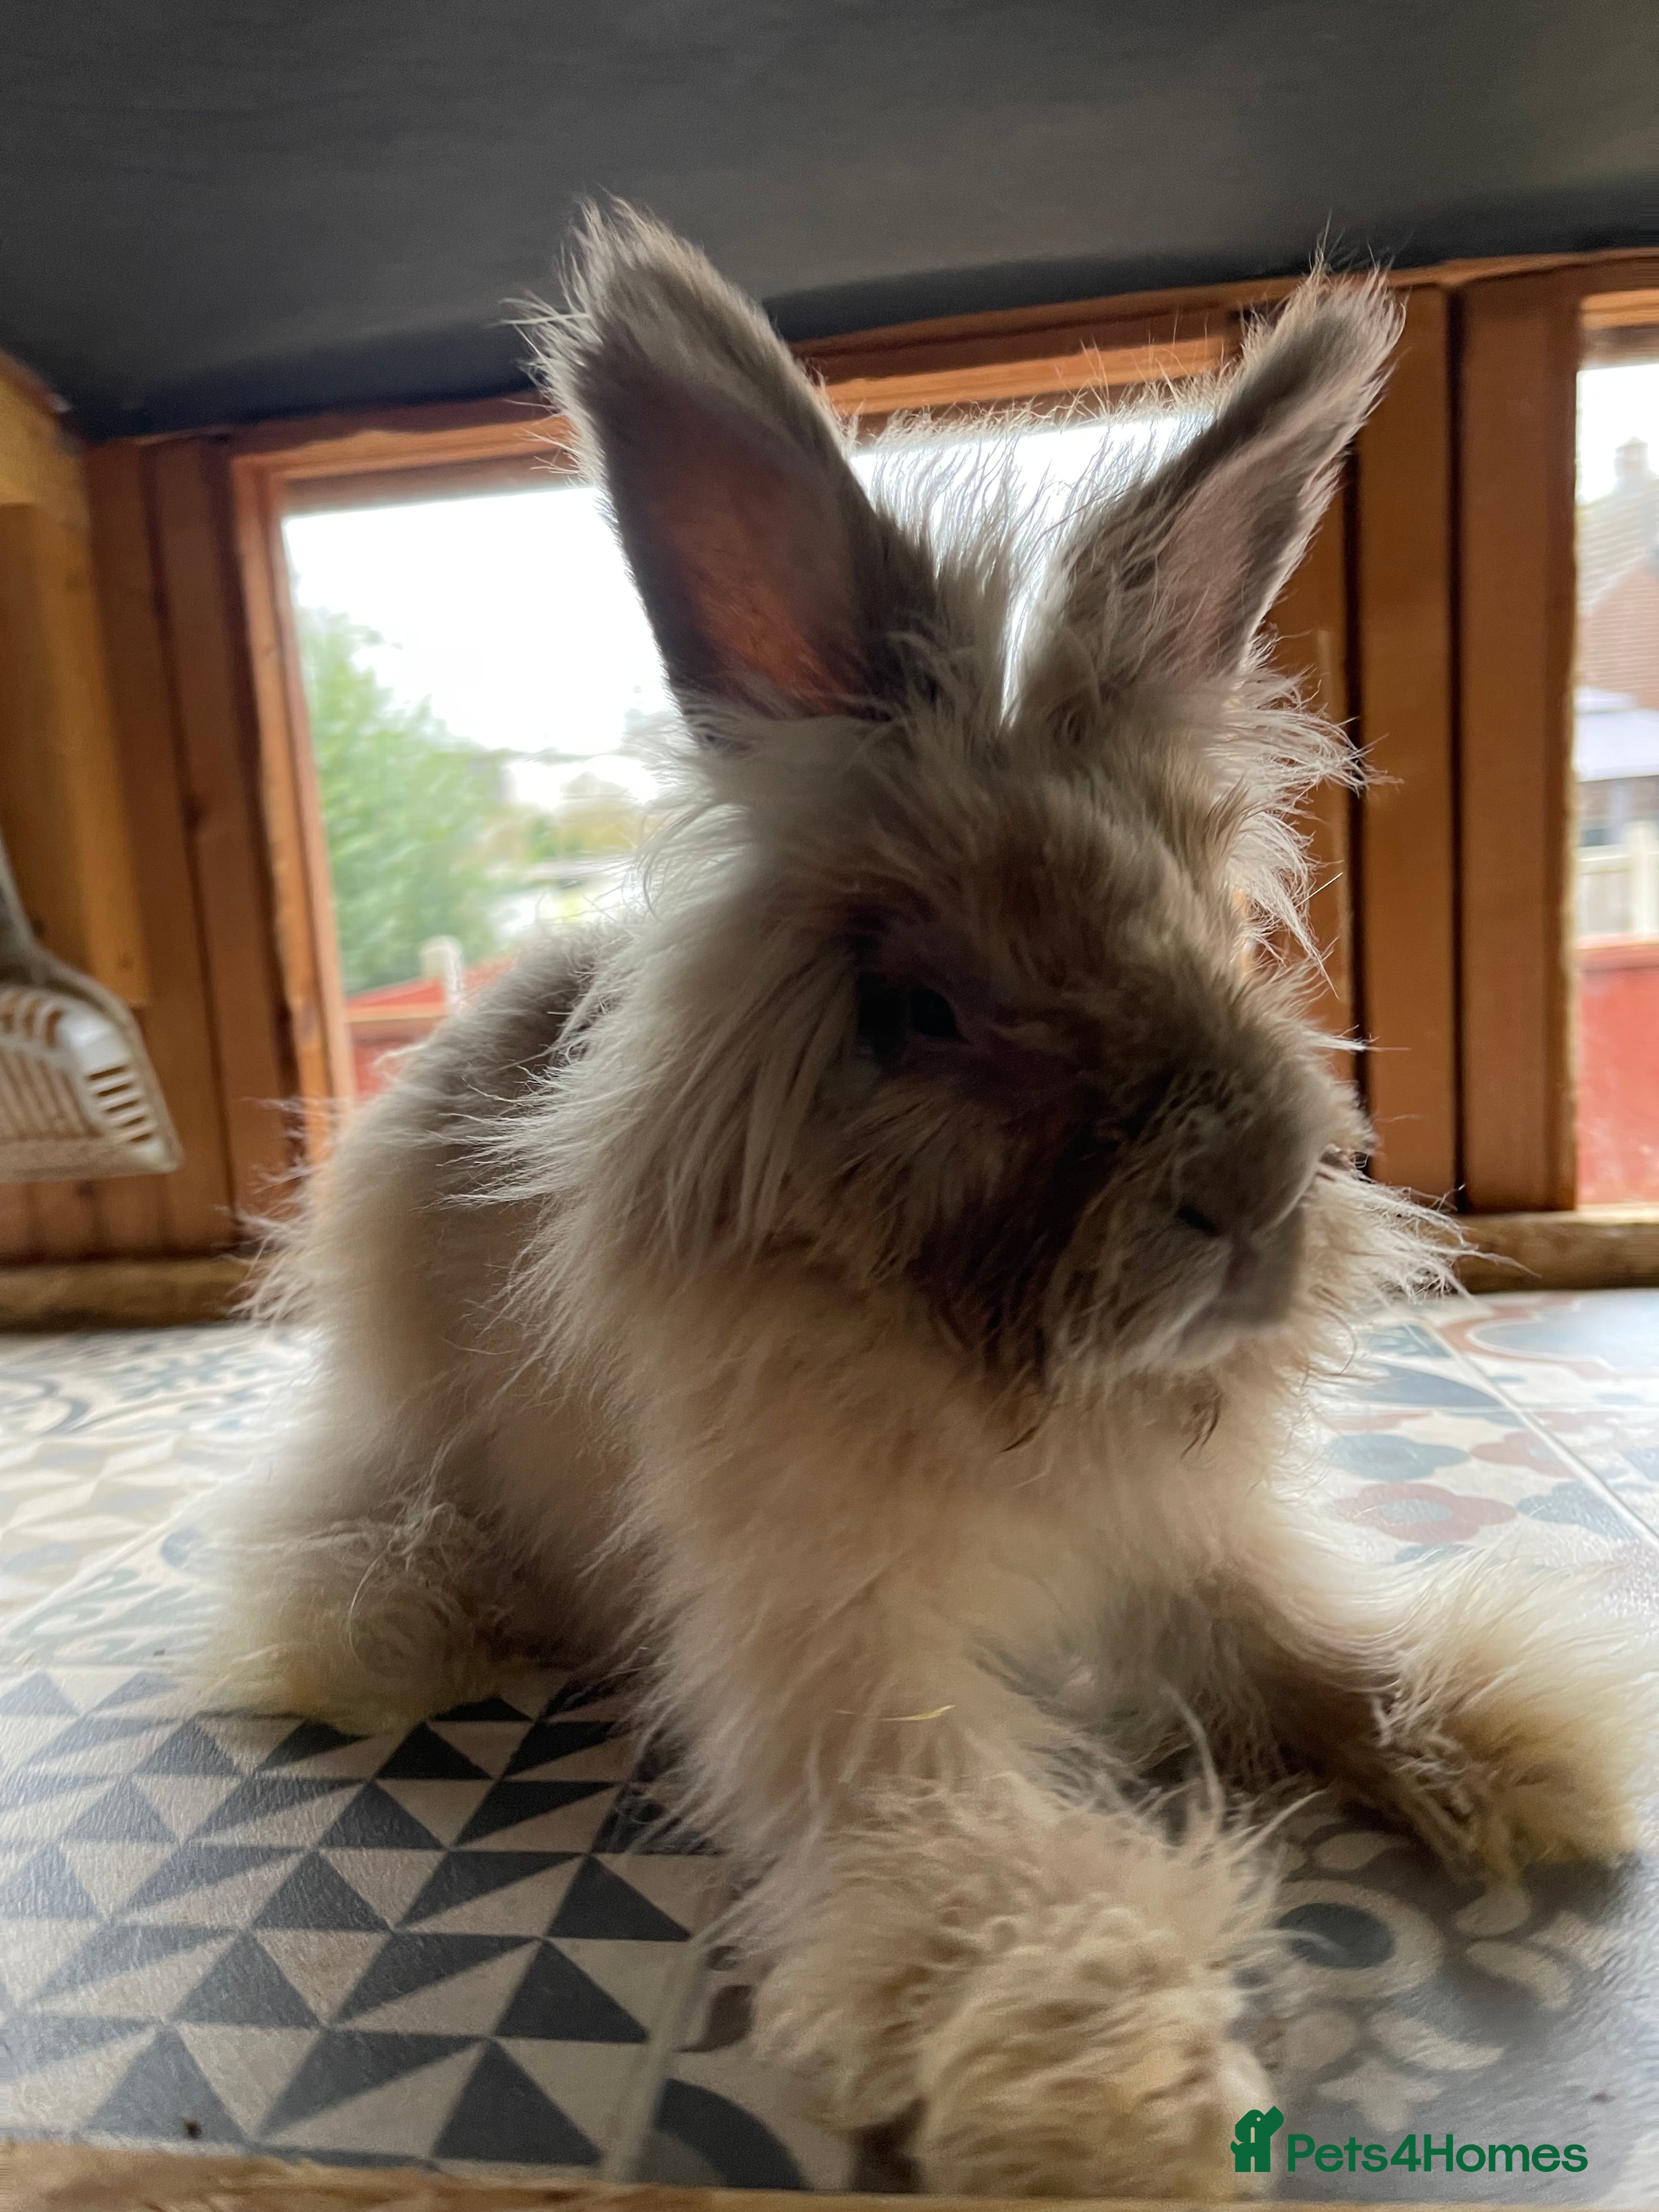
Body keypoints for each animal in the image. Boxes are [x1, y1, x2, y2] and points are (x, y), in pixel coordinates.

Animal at [202, 208, 1654, 2199]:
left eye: (1213, 930)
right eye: (925, 1012)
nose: (1250, 1192)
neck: (1000, 1380)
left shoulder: (1193, 1560)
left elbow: (1318, 1653)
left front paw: (1519, 1746)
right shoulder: (851, 1677)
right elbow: (975, 1869)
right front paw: (1122, 2090)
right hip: (413, 1445)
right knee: (337, 1541)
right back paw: (419, 1619)